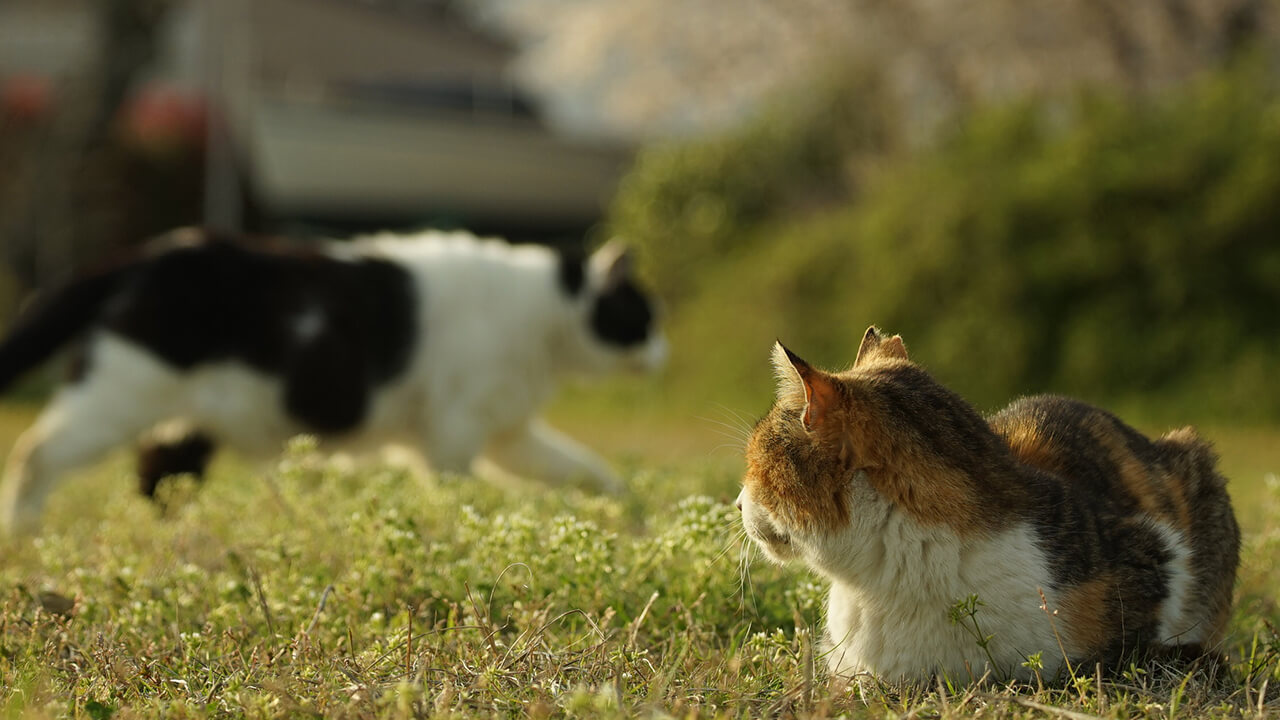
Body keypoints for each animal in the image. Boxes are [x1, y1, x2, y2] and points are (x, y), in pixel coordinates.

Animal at [0, 226, 660, 535]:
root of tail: (153, 250)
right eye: (647, 318)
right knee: (34, 451)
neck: (544, 313)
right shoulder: (454, 435)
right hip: (117, 398)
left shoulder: (506, 436)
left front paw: (630, 510)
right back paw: (24, 532)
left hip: (181, 427)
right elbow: (455, 495)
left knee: (157, 483)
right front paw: (457, 535)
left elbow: (588, 468)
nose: (664, 352)